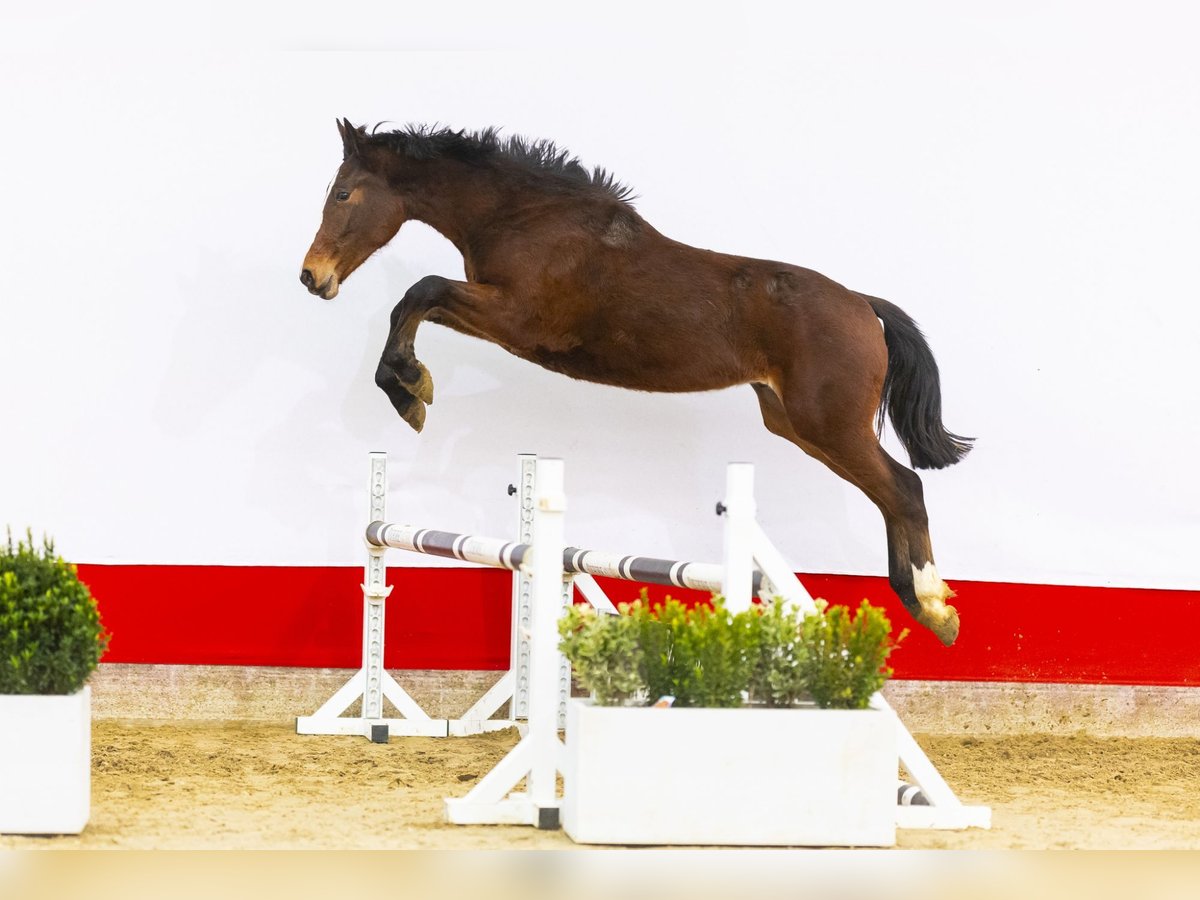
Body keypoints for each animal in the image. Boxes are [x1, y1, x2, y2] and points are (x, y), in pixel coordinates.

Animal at [302, 120, 974, 648]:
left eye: (343, 193)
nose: (313, 277)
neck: (526, 217)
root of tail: (863, 304)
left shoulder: (517, 320)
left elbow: (422, 291)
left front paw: (409, 390)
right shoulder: (501, 318)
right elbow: (421, 301)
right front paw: (410, 386)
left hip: (827, 423)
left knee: (904, 487)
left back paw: (934, 605)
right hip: (794, 423)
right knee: (890, 493)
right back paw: (922, 603)